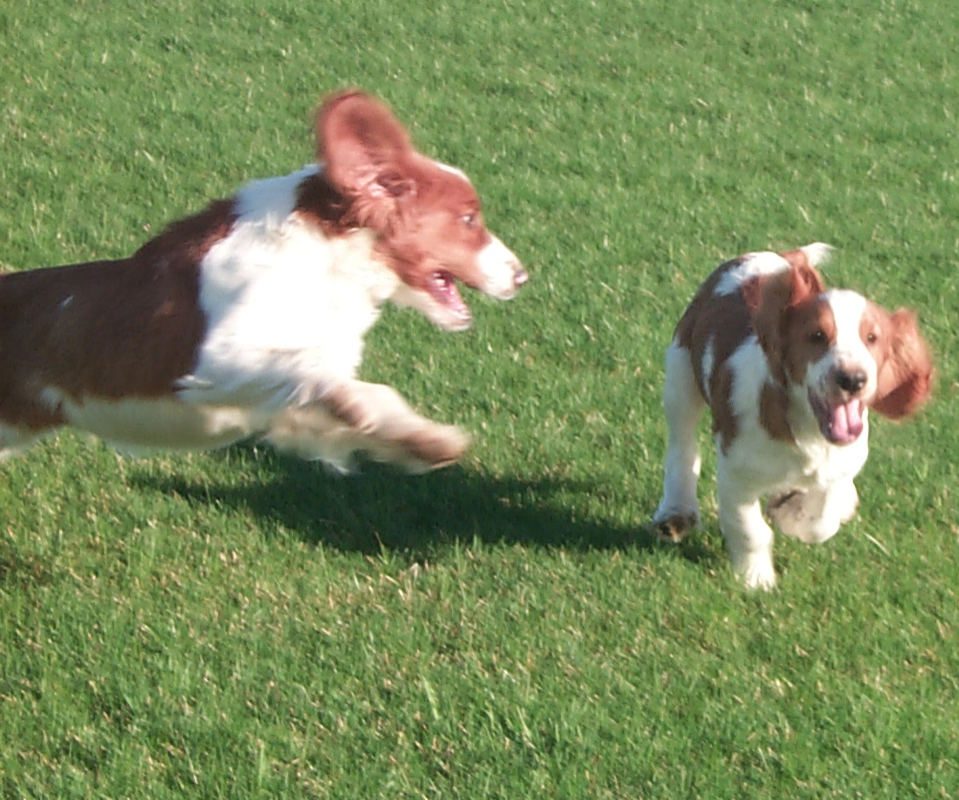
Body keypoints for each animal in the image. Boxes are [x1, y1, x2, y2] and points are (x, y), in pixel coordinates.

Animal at [0, 90, 524, 472]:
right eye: (469, 219)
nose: (522, 275)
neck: (321, 263)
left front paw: (420, 441)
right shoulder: (213, 363)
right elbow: (321, 377)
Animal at [652, 247, 928, 592]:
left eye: (872, 338)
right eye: (817, 336)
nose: (852, 379)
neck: (808, 431)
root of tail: (768, 254)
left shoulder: (843, 461)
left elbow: (823, 516)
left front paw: (792, 513)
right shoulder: (735, 471)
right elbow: (750, 529)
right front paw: (756, 580)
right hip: (680, 374)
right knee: (682, 446)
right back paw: (676, 513)